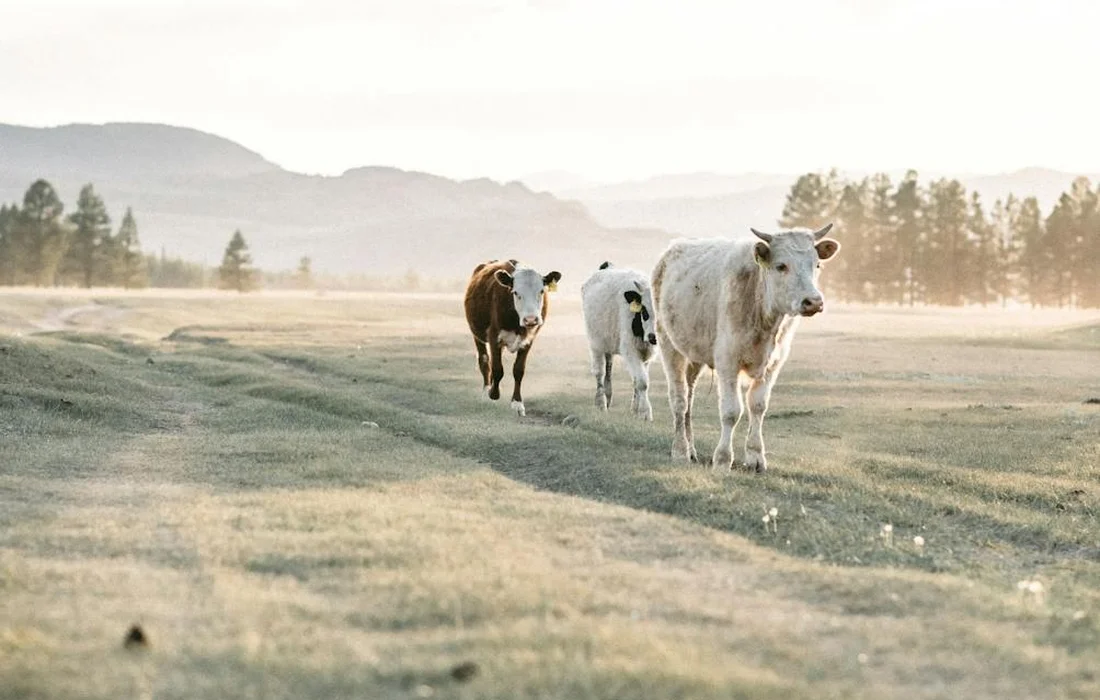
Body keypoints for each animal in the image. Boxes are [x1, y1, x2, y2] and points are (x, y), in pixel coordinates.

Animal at [464, 259, 562, 417]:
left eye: (541, 291)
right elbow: (497, 369)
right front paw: (493, 394)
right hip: (477, 334)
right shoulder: (494, 336)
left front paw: (517, 403)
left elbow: (518, 370)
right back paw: (486, 392)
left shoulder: (528, 340)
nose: (530, 319)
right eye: (516, 292)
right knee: (485, 360)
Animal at [581, 261, 659, 420]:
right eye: (644, 311)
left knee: (608, 368)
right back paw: (601, 403)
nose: (653, 336)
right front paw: (645, 412)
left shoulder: (646, 353)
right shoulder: (630, 349)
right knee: (600, 372)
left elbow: (637, 380)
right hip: (596, 344)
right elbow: (642, 382)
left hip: (608, 343)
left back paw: (608, 397)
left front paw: (635, 409)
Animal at [652, 224, 840, 472]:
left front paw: (755, 457)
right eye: (781, 266)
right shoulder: (727, 361)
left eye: (816, 264)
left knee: (689, 398)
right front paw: (723, 459)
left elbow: (758, 406)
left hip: (694, 353)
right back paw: (680, 450)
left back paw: (691, 450)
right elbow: (732, 411)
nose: (814, 302)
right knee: (679, 399)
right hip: (669, 345)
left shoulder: (773, 365)